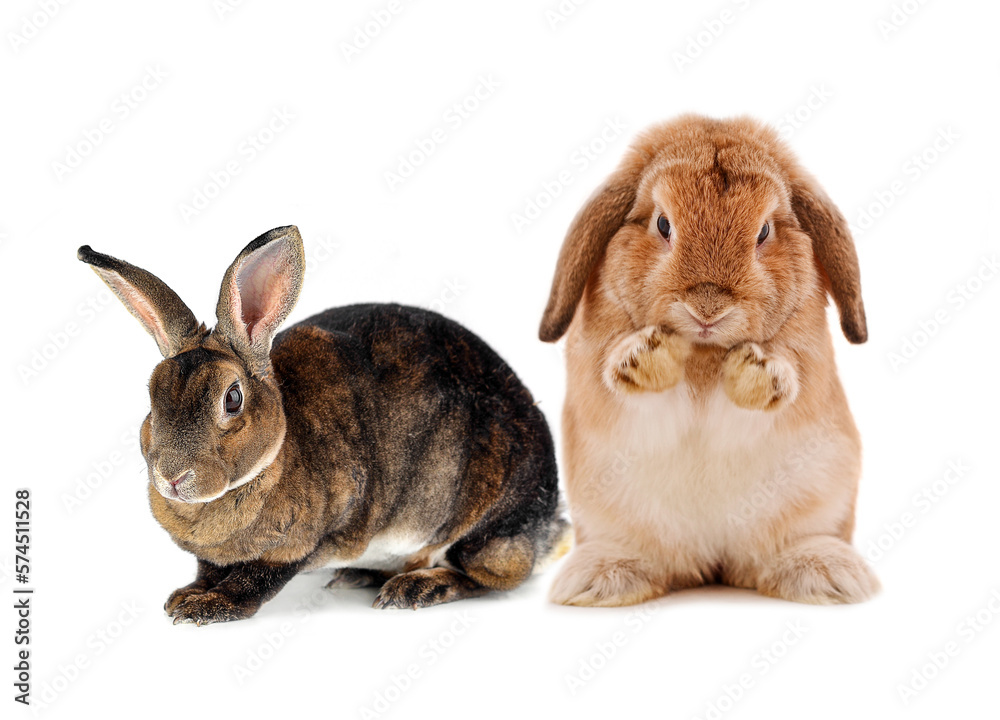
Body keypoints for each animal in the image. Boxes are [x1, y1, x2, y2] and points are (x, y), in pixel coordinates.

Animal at [78, 226, 570, 624]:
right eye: (151, 395)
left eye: (232, 398)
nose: (172, 478)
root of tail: (551, 525)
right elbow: (208, 570)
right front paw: (185, 595)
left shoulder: (306, 539)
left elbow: (256, 581)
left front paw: (205, 607)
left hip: (486, 527)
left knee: (490, 577)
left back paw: (415, 588)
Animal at [538, 114, 879, 607]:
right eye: (663, 223)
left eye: (764, 231)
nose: (708, 306)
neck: (705, 353)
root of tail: (713, 564)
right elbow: (626, 381)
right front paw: (648, 354)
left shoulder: (806, 362)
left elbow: (782, 378)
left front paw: (756, 371)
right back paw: (601, 578)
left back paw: (825, 573)